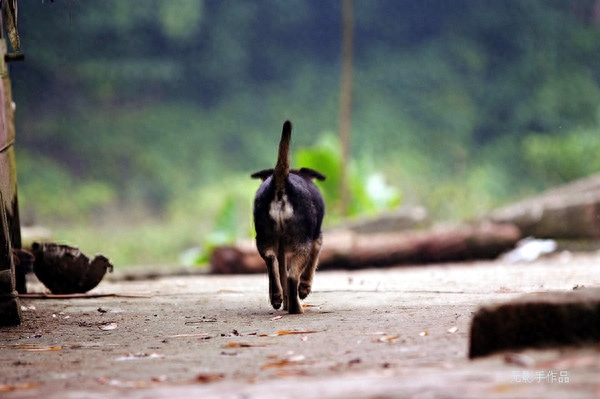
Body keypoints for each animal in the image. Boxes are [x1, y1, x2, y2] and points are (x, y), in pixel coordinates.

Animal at [251, 120, 326, 314]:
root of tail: (281, 183)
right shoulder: (316, 240)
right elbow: (311, 265)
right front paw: (304, 288)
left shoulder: (282, 250)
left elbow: (282, 272)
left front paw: (283, 300)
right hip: (302, 243)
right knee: (293, 276)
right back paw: (296, 308)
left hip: (264, 238)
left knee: (271, 263)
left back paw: (277, 297)